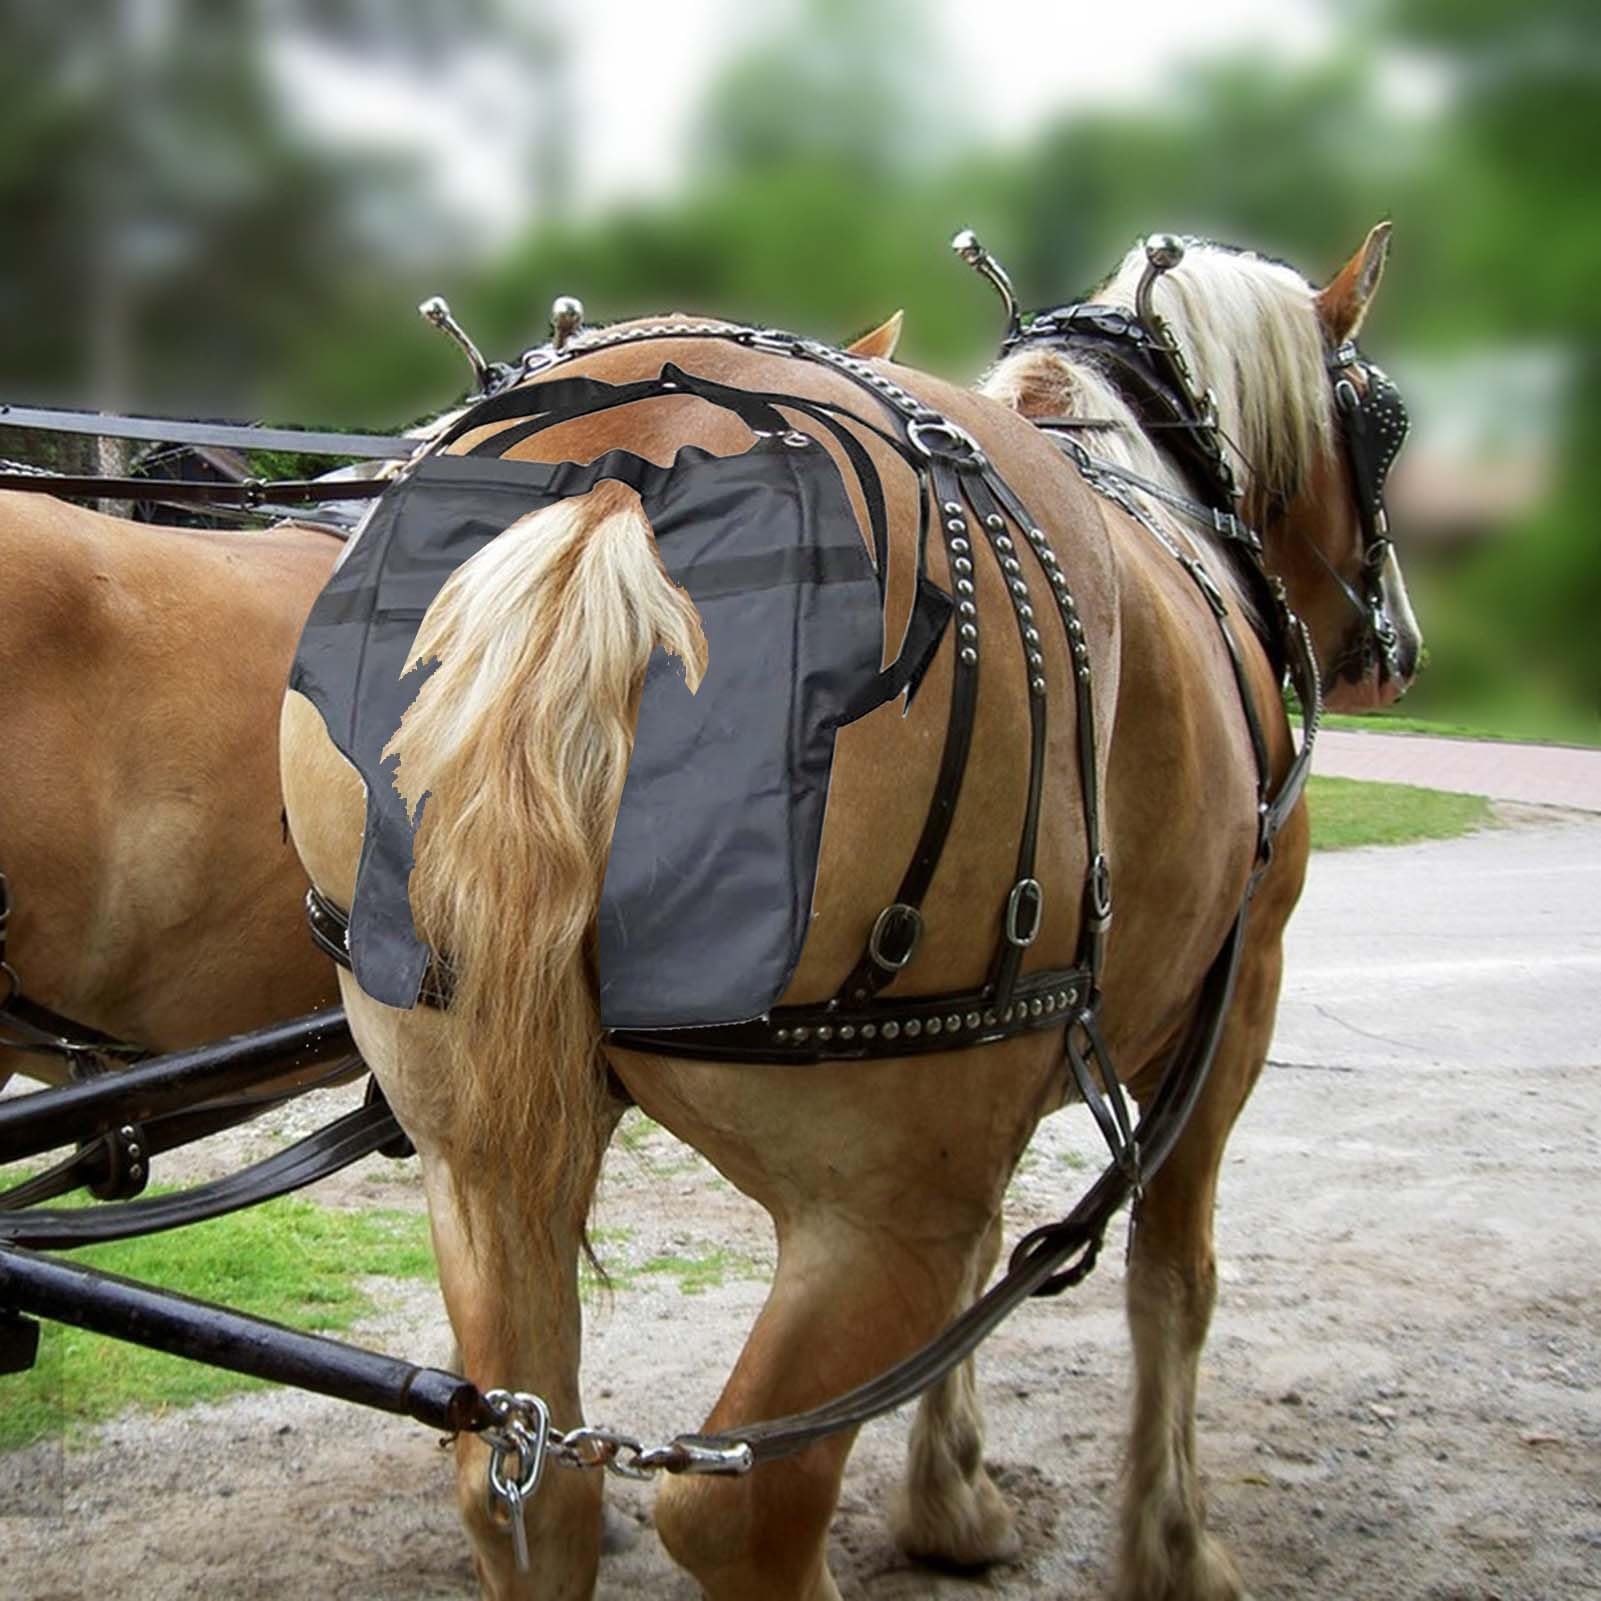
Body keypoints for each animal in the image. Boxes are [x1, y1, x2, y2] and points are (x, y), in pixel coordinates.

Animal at [278, 225, 1419, 1599]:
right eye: (1381, 420)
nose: (1395, 647)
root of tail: (622, 480)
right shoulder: (1231, 1009)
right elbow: (1172, 1280)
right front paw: (1172, 1548)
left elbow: (990, 1275)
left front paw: (951, 1499)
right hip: (873, 1204)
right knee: (741, 1509)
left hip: (472, 1144)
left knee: (529, 1480)